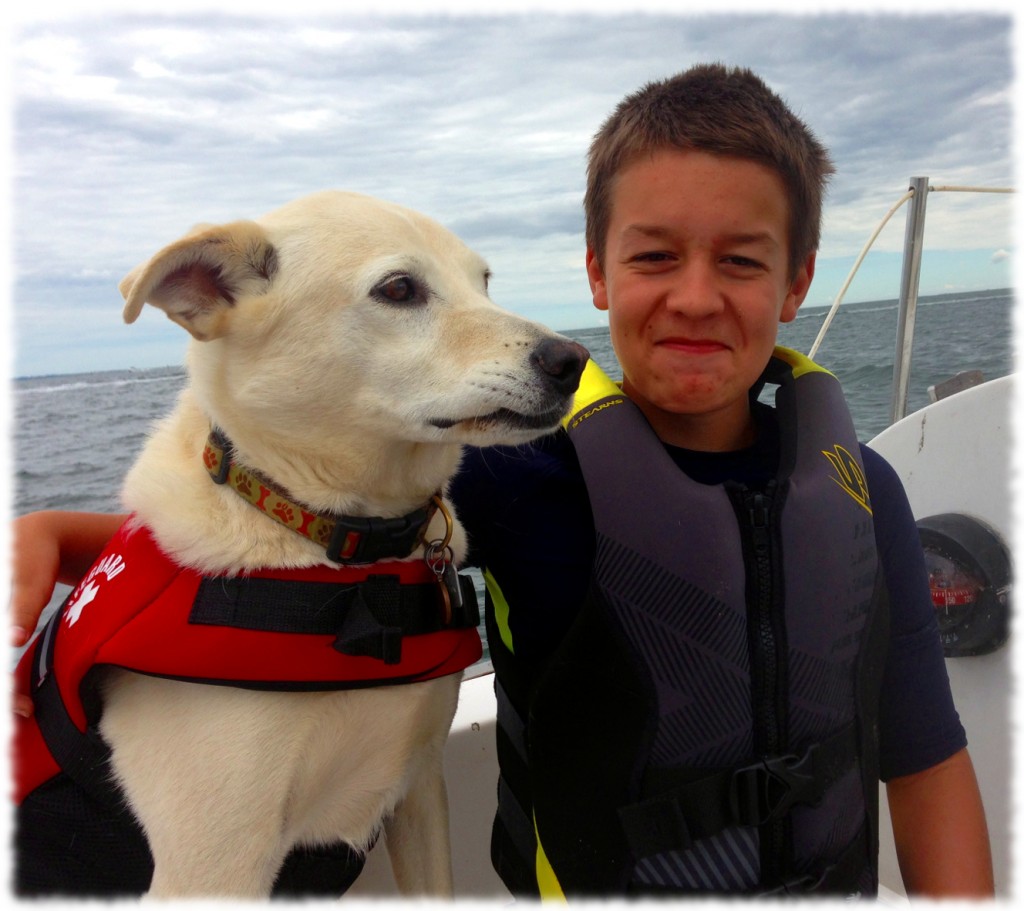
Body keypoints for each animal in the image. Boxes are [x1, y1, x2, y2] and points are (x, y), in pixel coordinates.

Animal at [12, 190, 589, 896]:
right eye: (399, 289)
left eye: (483, 282)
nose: (571, 360)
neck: (332, 545)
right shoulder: (217, 864)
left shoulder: (419, 788)